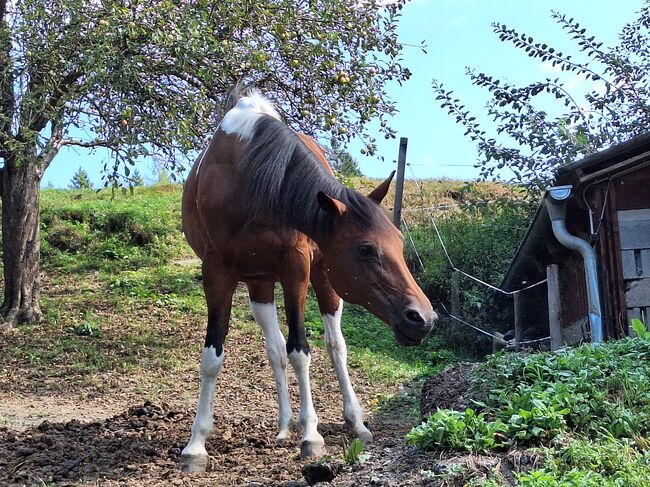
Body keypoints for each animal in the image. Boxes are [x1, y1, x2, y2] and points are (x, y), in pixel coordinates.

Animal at [177, 87, 436, 472]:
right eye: (366, 249)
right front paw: (196, 445)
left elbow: (301, 350)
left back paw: (354, 422)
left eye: (400, 242)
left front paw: (312, 435)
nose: (423, 318)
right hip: (260, 284)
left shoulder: (296, 268)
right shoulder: (217, 271)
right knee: (274, 350)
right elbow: (214, 357)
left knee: (335, 346)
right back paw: (285, 425)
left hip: (322, 278)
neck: (253, 181)